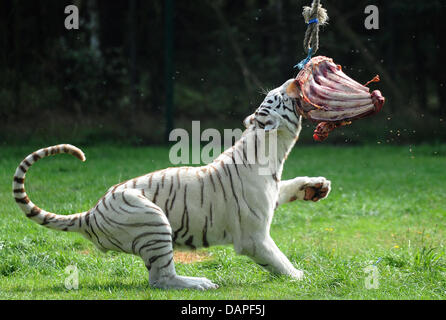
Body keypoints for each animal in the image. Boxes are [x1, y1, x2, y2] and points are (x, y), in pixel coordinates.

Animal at [12, 78, 330, 290]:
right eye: (279, 95)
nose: (295, 79)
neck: (272, 150)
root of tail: (90, 214)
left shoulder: (273, 192)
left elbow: (290, 185)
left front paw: (318, 185)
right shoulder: (254, 237)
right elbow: (278, 259)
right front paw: (298, 276)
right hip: (152, 221)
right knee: (160, 278)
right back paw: (200, 283)